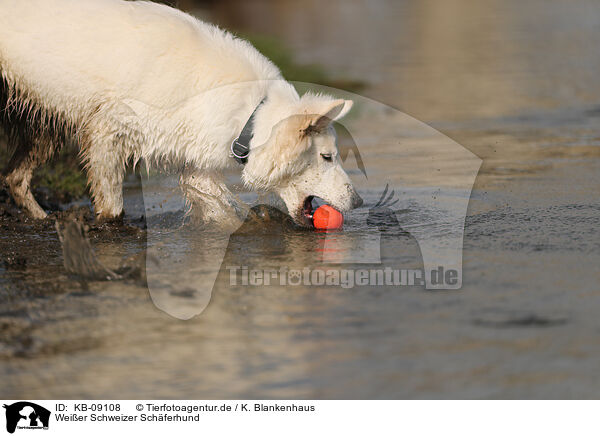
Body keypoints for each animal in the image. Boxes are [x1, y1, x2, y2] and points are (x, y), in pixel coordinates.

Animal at [0, 0, 360, 225]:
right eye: (328, 157)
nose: (358, 202)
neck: (251, 115)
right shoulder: (108, 135)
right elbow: (112, 206)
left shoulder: (196, 166)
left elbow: (224, 212)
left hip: (45, 127)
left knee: (14, 178)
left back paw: (41, 219)